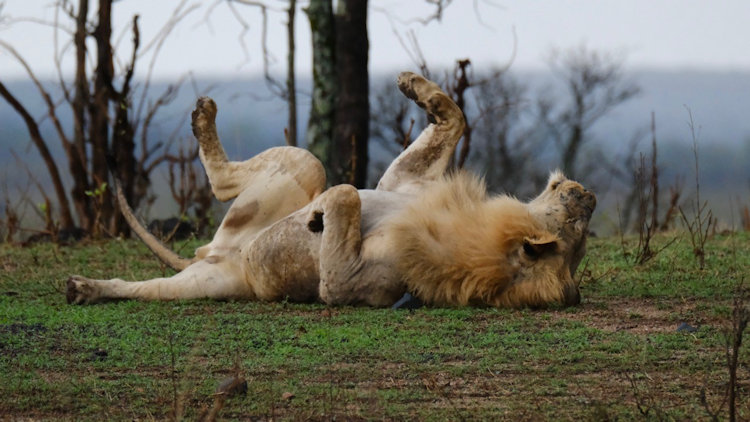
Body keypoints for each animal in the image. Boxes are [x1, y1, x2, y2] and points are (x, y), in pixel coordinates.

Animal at [65, 72, 596, 308]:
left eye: (576, 231)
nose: (588, 195)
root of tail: (217, 252)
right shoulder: (405, 182)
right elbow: (455, 117)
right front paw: (412, 84)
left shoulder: (358, 282)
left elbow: (346, 200)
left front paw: (321, 218)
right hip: (298, 168)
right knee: (234, 178)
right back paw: (203, 115)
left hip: (203, 284)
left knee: (147, 283)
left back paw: (84, 288)